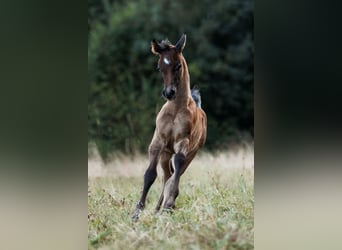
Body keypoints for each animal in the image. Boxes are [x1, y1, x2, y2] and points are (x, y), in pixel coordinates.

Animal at [132, 33, 206, 221]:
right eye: (159, 67)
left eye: (178, 65)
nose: (169, 93)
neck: (176, 108)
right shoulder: (157, 142)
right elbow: (150, 175)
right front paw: (137, 212)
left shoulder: (183, 141)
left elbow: (177, 167)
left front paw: (170, 204)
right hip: (165, 154)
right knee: (167, 175)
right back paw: (157, 209)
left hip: (192, 153)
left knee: (174, 174)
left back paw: (166, 206)